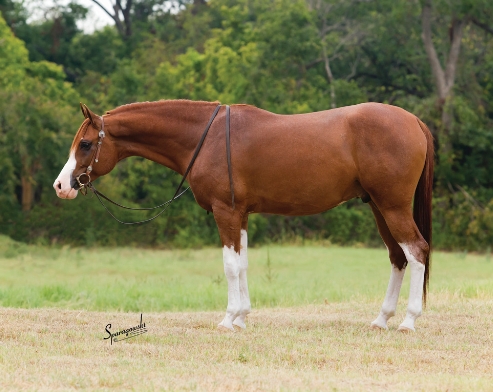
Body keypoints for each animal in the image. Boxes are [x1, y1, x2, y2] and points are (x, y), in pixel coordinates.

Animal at [52, 99, 432, 332]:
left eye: (85, 144)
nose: (61, 185)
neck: (205, 138)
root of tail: (413, 120)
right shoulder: (242, 214)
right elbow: (244, 263)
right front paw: (242, 318)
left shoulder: (226, 211)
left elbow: (230, 266)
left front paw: (228, 318)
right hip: (379, 207)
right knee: (398, 256)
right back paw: (382, 319)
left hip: (392, 206)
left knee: (416, 251)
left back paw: (409, 321)